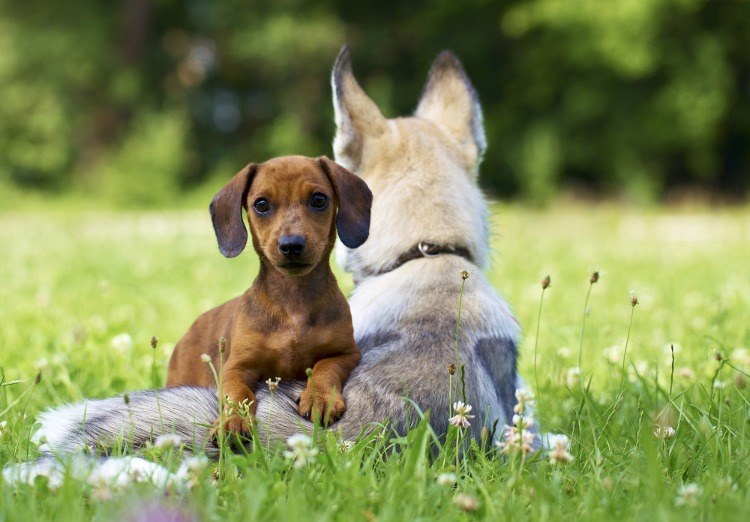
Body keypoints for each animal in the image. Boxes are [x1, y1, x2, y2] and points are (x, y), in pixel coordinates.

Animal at [167, 155, 374, 434]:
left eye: (319, 200)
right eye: (261, 204)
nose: (292, 245)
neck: (293, 301)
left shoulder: (346, 354)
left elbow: (325, 367)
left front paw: (320, 397)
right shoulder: (235, 367)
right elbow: (237, 393)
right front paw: (233, 419)